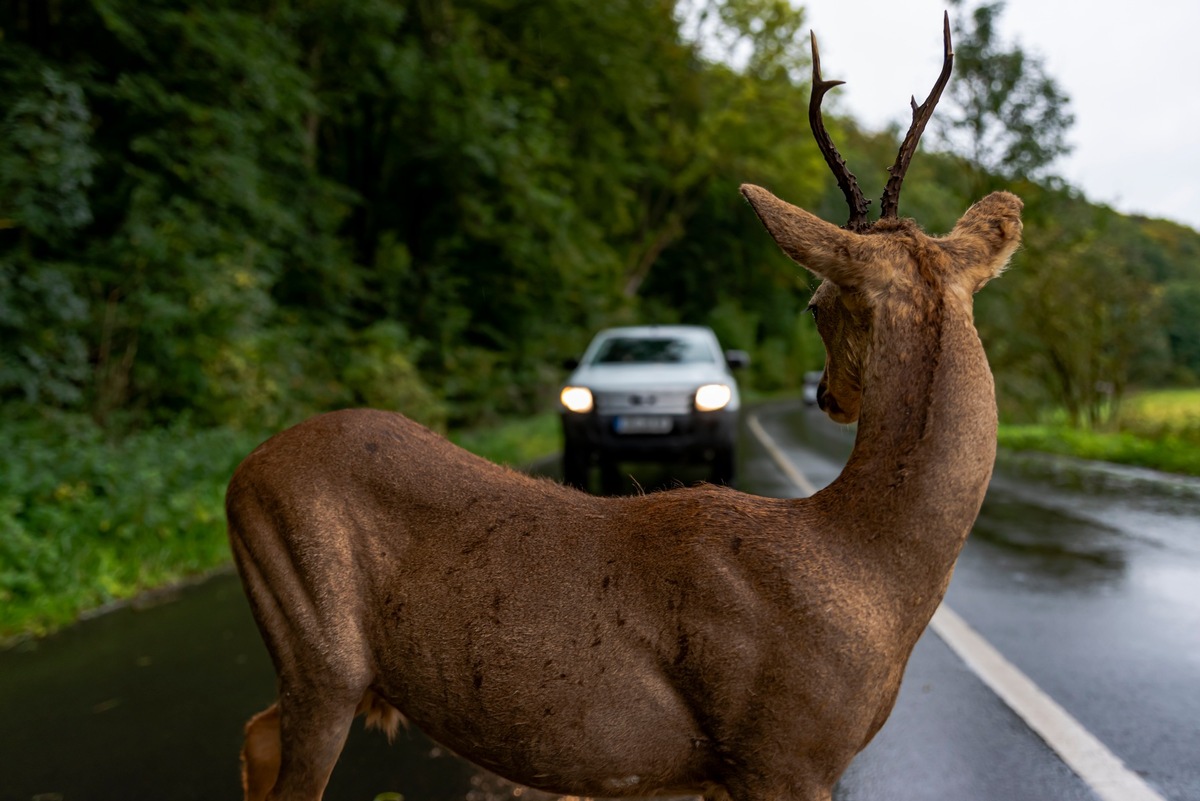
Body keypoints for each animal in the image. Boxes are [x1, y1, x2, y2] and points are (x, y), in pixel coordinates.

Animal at [226, 10, 1022, 801]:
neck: (868, 568)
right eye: (815, 303)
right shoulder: (780, 753)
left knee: (255, 735)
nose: (828, 395)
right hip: (320, 650)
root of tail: (239, 476)